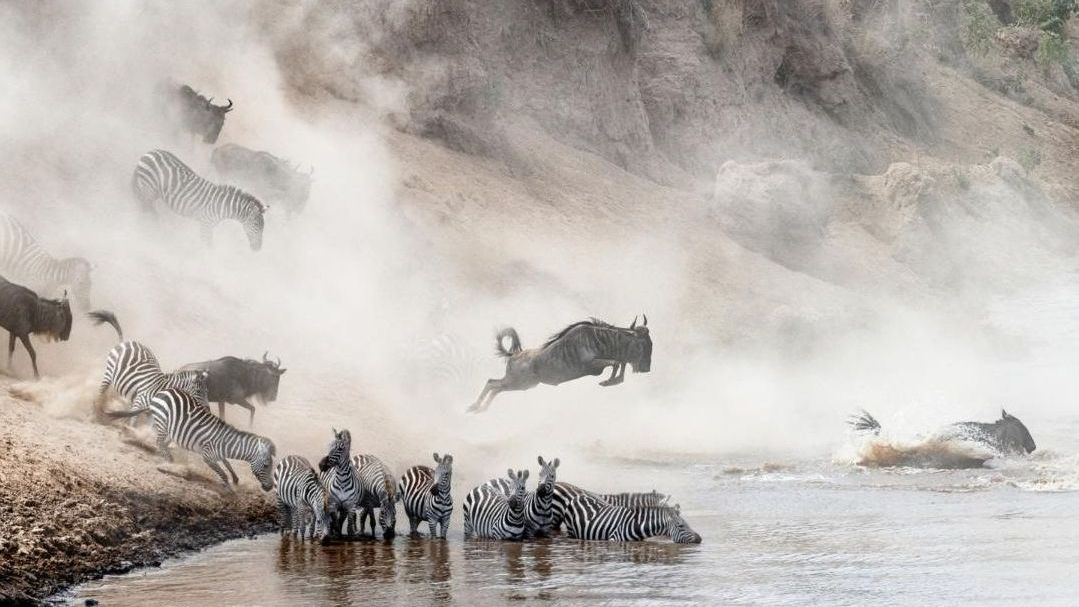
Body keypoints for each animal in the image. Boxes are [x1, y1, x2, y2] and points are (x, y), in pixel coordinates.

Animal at [106, 387, 275, 491]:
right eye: (266, 465)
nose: (270, 488)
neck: (227, 444)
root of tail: (160, 393)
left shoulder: (218, 454)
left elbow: (227, 464)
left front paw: (235, 479)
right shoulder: (208, 457)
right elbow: (222, 473)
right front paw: (228, 487)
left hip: (169, 428)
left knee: (162, 443)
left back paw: (165, 459)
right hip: (163, 423)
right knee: (159, 442)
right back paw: (171, 464)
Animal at [131, 149, 267, 250]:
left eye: (263, 227)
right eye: (256, 225)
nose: (258, 249)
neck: (224, 206)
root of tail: (151, 152)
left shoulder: (208, 225)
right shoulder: (206, 224)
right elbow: (208, 246)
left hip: (154, 190)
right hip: (149, 187)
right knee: (145, 205)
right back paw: (148, 227)